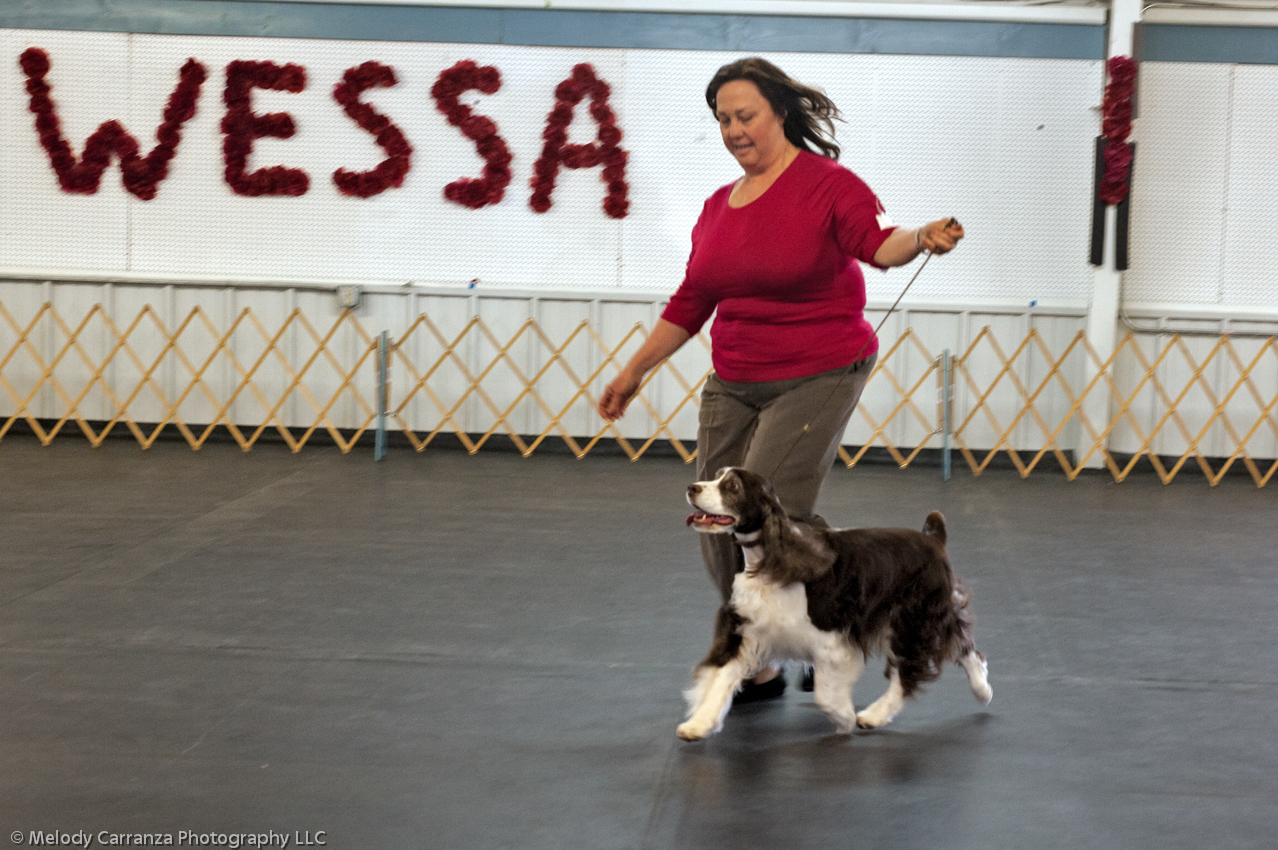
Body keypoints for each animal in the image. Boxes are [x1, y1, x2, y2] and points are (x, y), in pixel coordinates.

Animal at [679, 467, 986, 741]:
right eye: (717, 476)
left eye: (732, 486)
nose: (692, 487)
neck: (772, 559)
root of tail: (933, 539)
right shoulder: (751, 631)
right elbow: (723, 676)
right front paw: (698, 724)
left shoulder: (831, 639)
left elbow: (825, 693)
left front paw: (844, 718)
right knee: (960, 645)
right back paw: (981, 689)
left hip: (915, 617)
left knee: (915, 668)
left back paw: (876, 715)